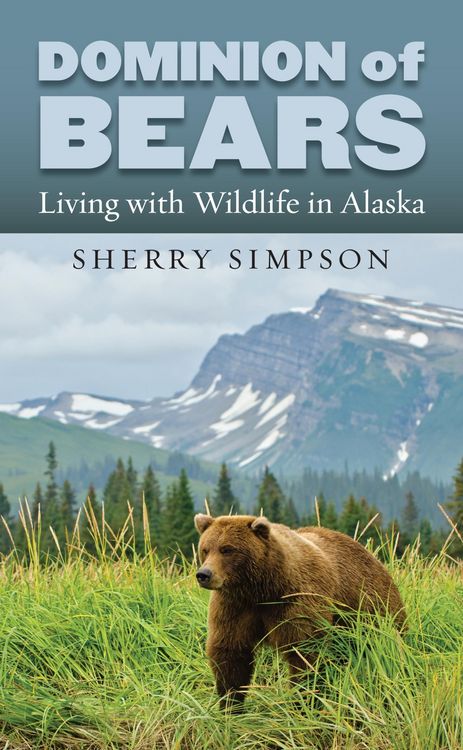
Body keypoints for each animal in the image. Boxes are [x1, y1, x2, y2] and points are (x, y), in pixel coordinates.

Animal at [194, 513, 406, 709]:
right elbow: (230, 653)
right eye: (205, 549)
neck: (262, 590)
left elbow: (305, 653)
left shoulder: (297, 602)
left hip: (371, 608)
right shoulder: (234, 606)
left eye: (227, 549)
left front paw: (303, 701)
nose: (204, 574)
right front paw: (230, 705)